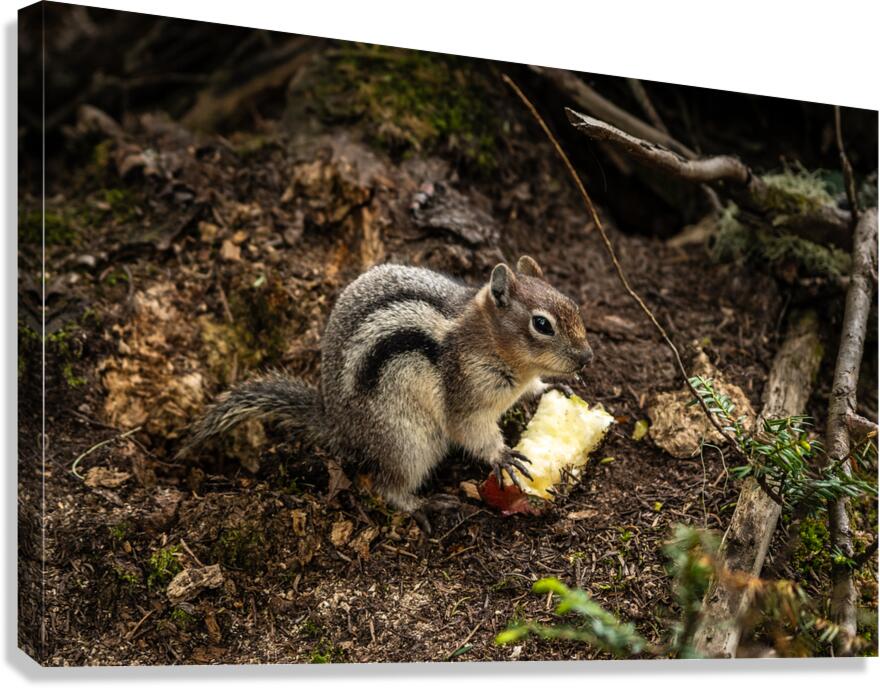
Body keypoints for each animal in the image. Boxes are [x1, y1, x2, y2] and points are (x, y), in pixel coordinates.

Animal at [179, 255, 593, 532]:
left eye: (573, 304)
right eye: (542, 324)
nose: (587, 358)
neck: (490, 341)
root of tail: (337, 426)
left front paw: (549, 387)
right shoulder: (466, 392)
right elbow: (470, 430)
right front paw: (501, 455)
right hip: (406, 442)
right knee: (387, 487)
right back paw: (424, 504)